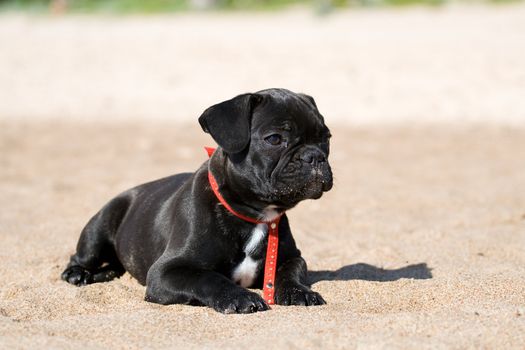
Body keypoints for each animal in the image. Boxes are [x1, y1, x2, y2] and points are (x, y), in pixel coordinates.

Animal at [61, 88, 332, 314]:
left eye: (326, 138)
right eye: (274, 139)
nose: (314, 156)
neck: (253, 213)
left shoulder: (291, 257)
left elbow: (291, 271)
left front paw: (300, 291)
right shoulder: (166, 272)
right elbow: (208, 278)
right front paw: (240, 297)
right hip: (100, 225)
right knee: (83, 254)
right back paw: (78, 274)